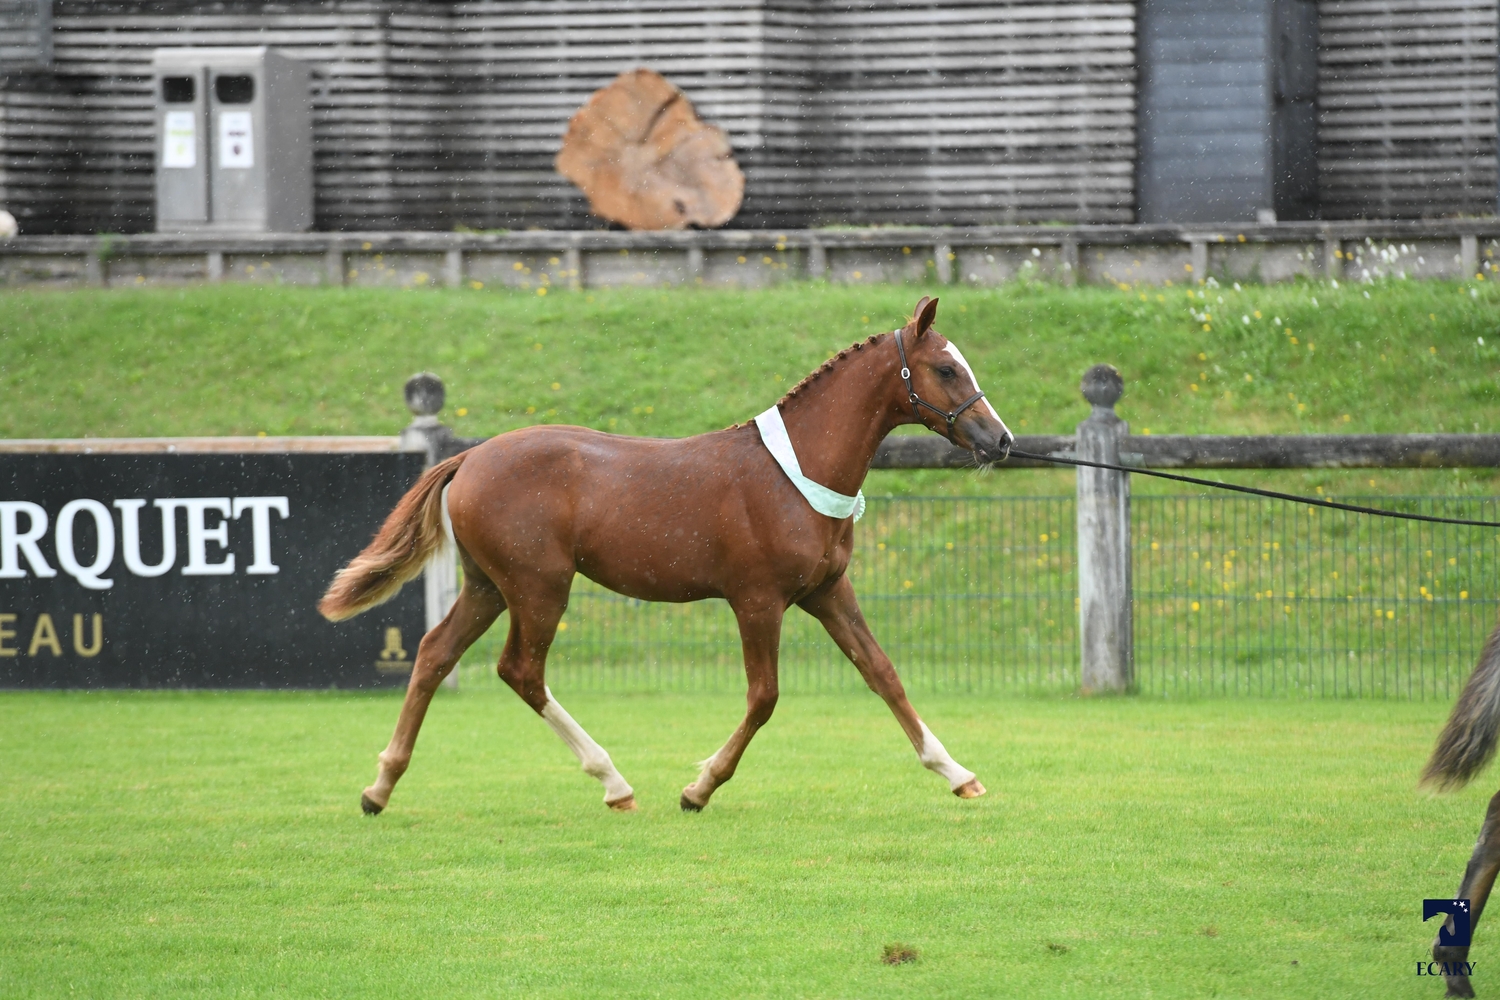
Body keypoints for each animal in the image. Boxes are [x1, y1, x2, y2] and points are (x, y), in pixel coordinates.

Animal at [322, 295, 1014, 815]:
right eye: (946, 370)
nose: (1001, 440)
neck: (794, 474)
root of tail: (469, 458)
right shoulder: (757, 600)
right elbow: (764, 697)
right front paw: (698, 788)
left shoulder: (826, 592)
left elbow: (882, 672)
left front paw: (958, 773)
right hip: (539, 587)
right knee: (520, 671)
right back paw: (613, 782)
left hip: (488, 586)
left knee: (435, 653)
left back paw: (380, 787)